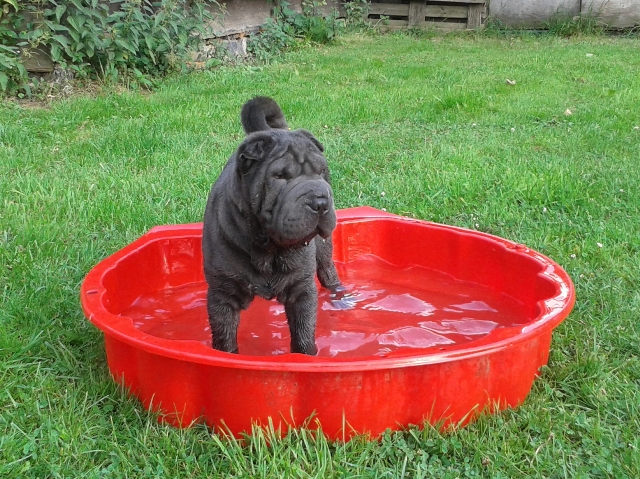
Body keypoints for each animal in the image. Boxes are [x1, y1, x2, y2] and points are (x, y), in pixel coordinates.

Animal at [202, 96, 342, 356]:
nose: (320, 200)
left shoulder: (301, 290)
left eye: (321, 172)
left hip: (324, 249)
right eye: (280, 177)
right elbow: (225, 338)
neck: (269, 248)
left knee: (328, 272)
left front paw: (307, 357)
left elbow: (303, 333)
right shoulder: (222, 293)